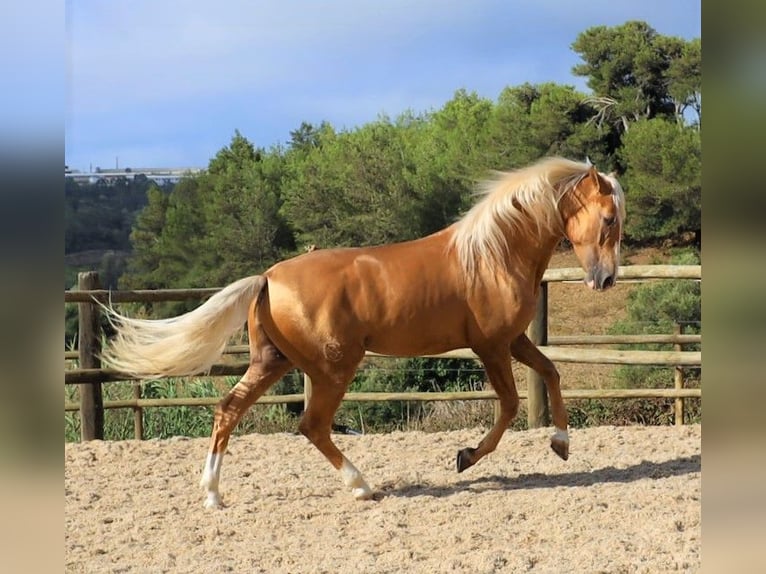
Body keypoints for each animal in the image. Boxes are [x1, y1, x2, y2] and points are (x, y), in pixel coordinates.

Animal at [103, 156, 632, 508]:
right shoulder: (491, 346)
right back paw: (362, 486)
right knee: (311, 425)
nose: (606, 280)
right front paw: (466, 457)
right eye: (608, 219)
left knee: (228, 409)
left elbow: (552, 372)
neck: (492, 254)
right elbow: (510, 406)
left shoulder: (514, 341)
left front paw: (561, 444)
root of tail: (268, 277)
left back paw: (213, 495)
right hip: (334, 368)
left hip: (274, 362)